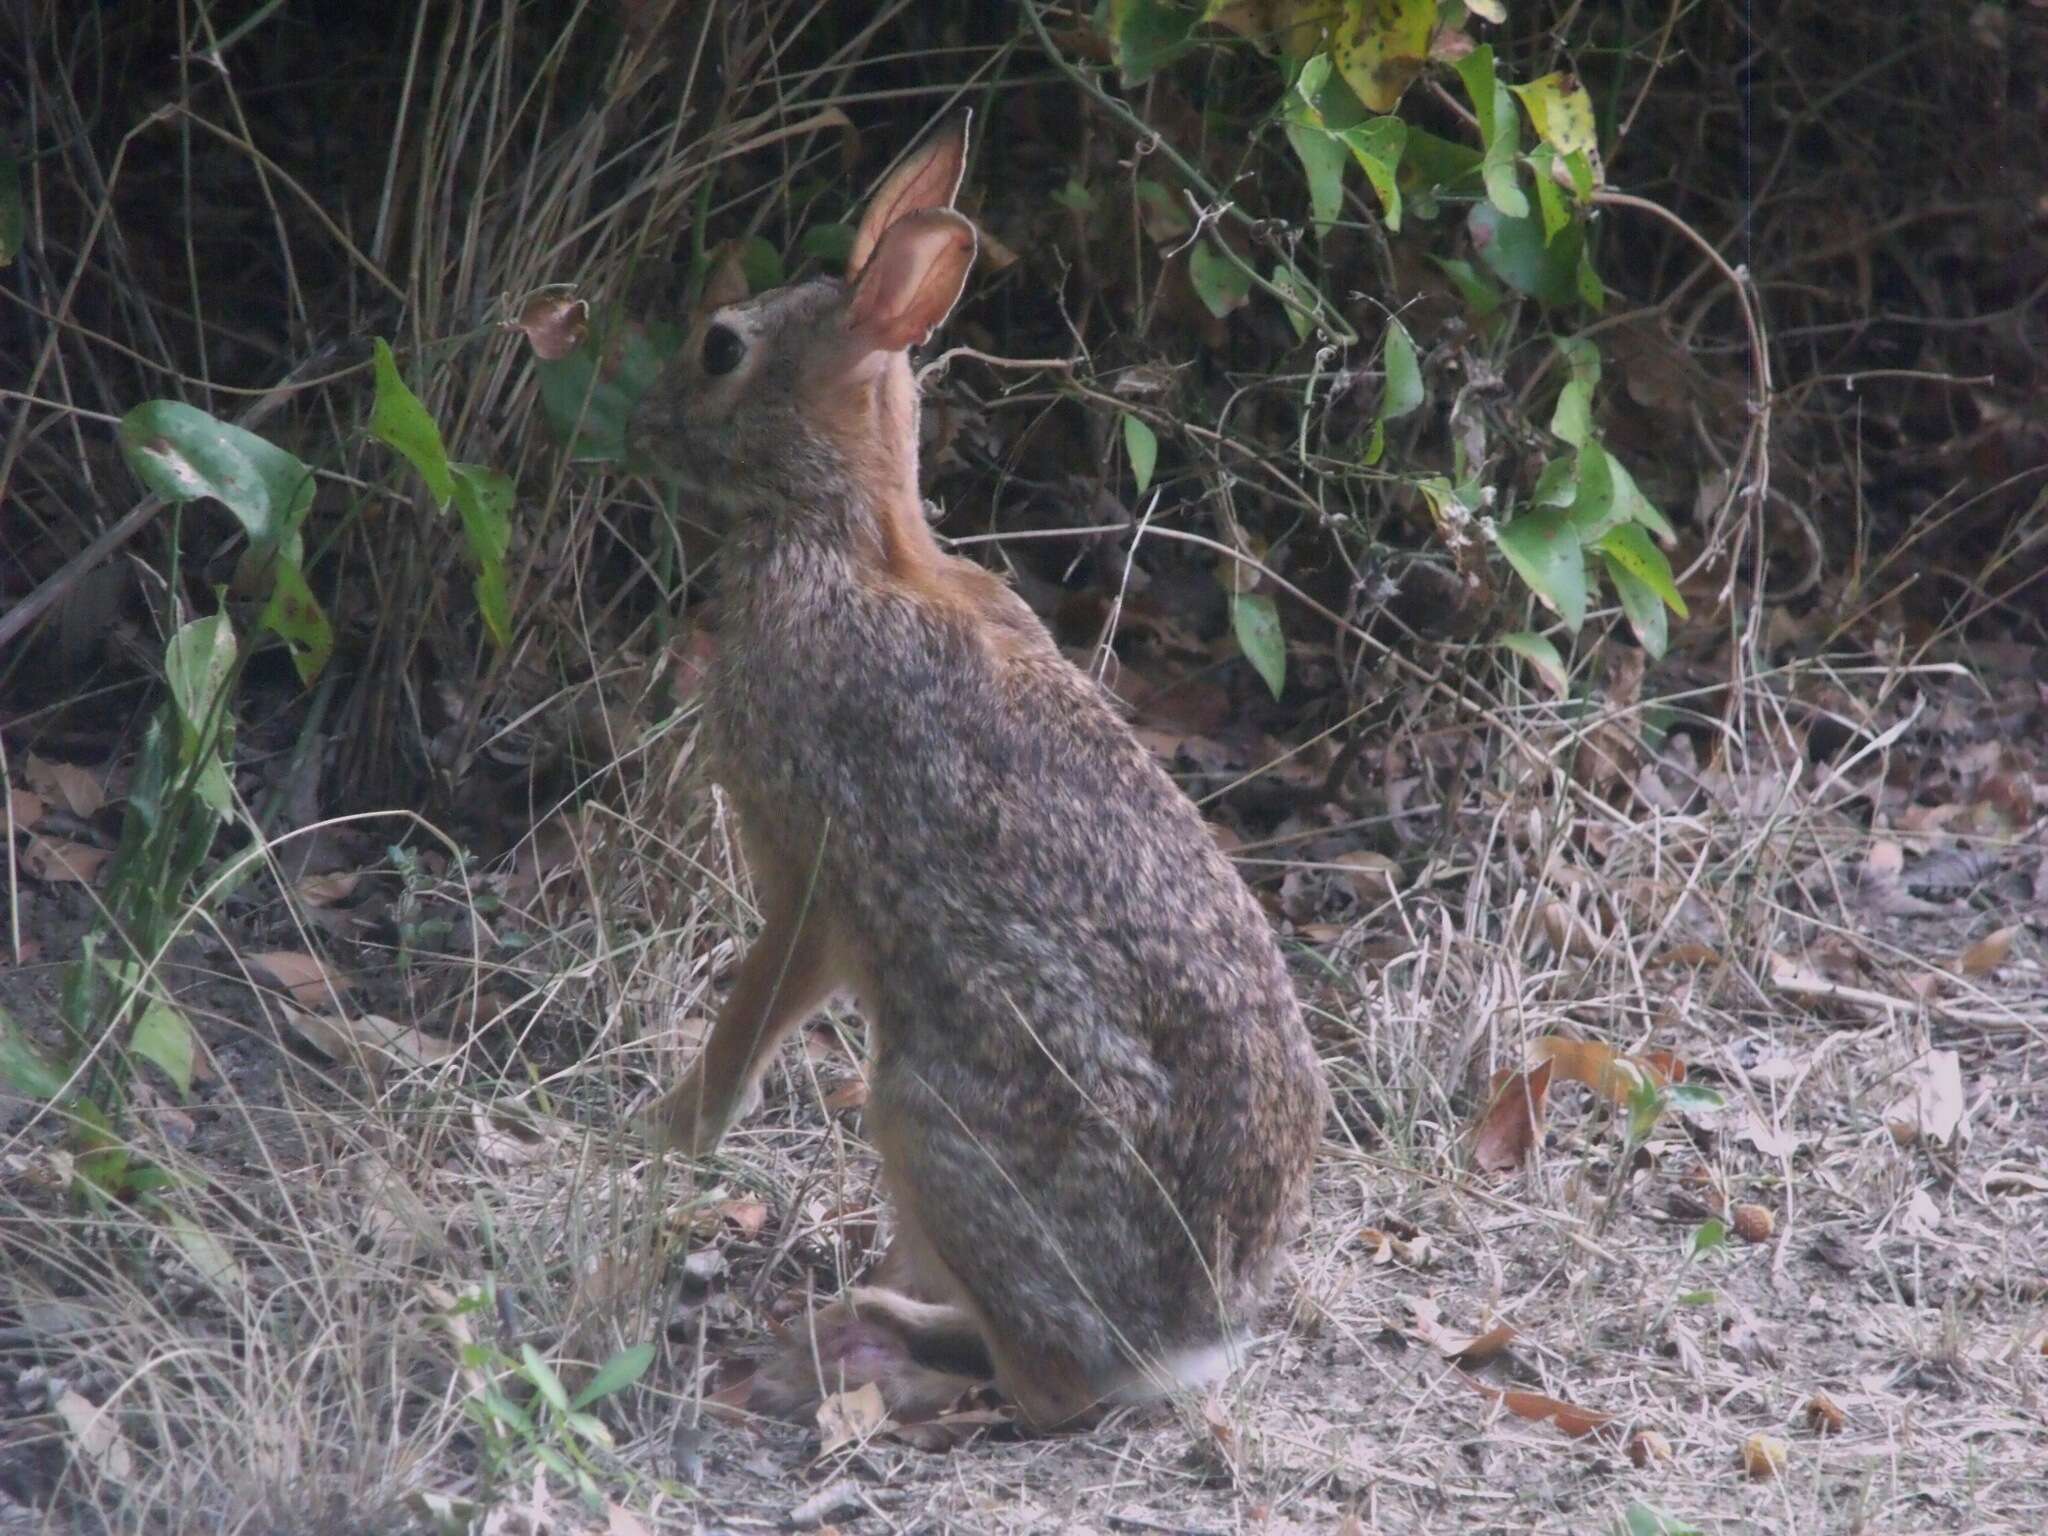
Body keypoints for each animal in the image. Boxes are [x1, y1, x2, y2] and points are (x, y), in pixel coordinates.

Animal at [626, 111, 1327, 1433]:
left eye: (720, 346)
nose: (649, 413)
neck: (847, 539)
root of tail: (1181, 1338)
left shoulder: (808, 872)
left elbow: (754, 1014)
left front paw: (667, 1132)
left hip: (926, 1112)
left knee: (1044, 1386)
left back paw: (872, 1347)